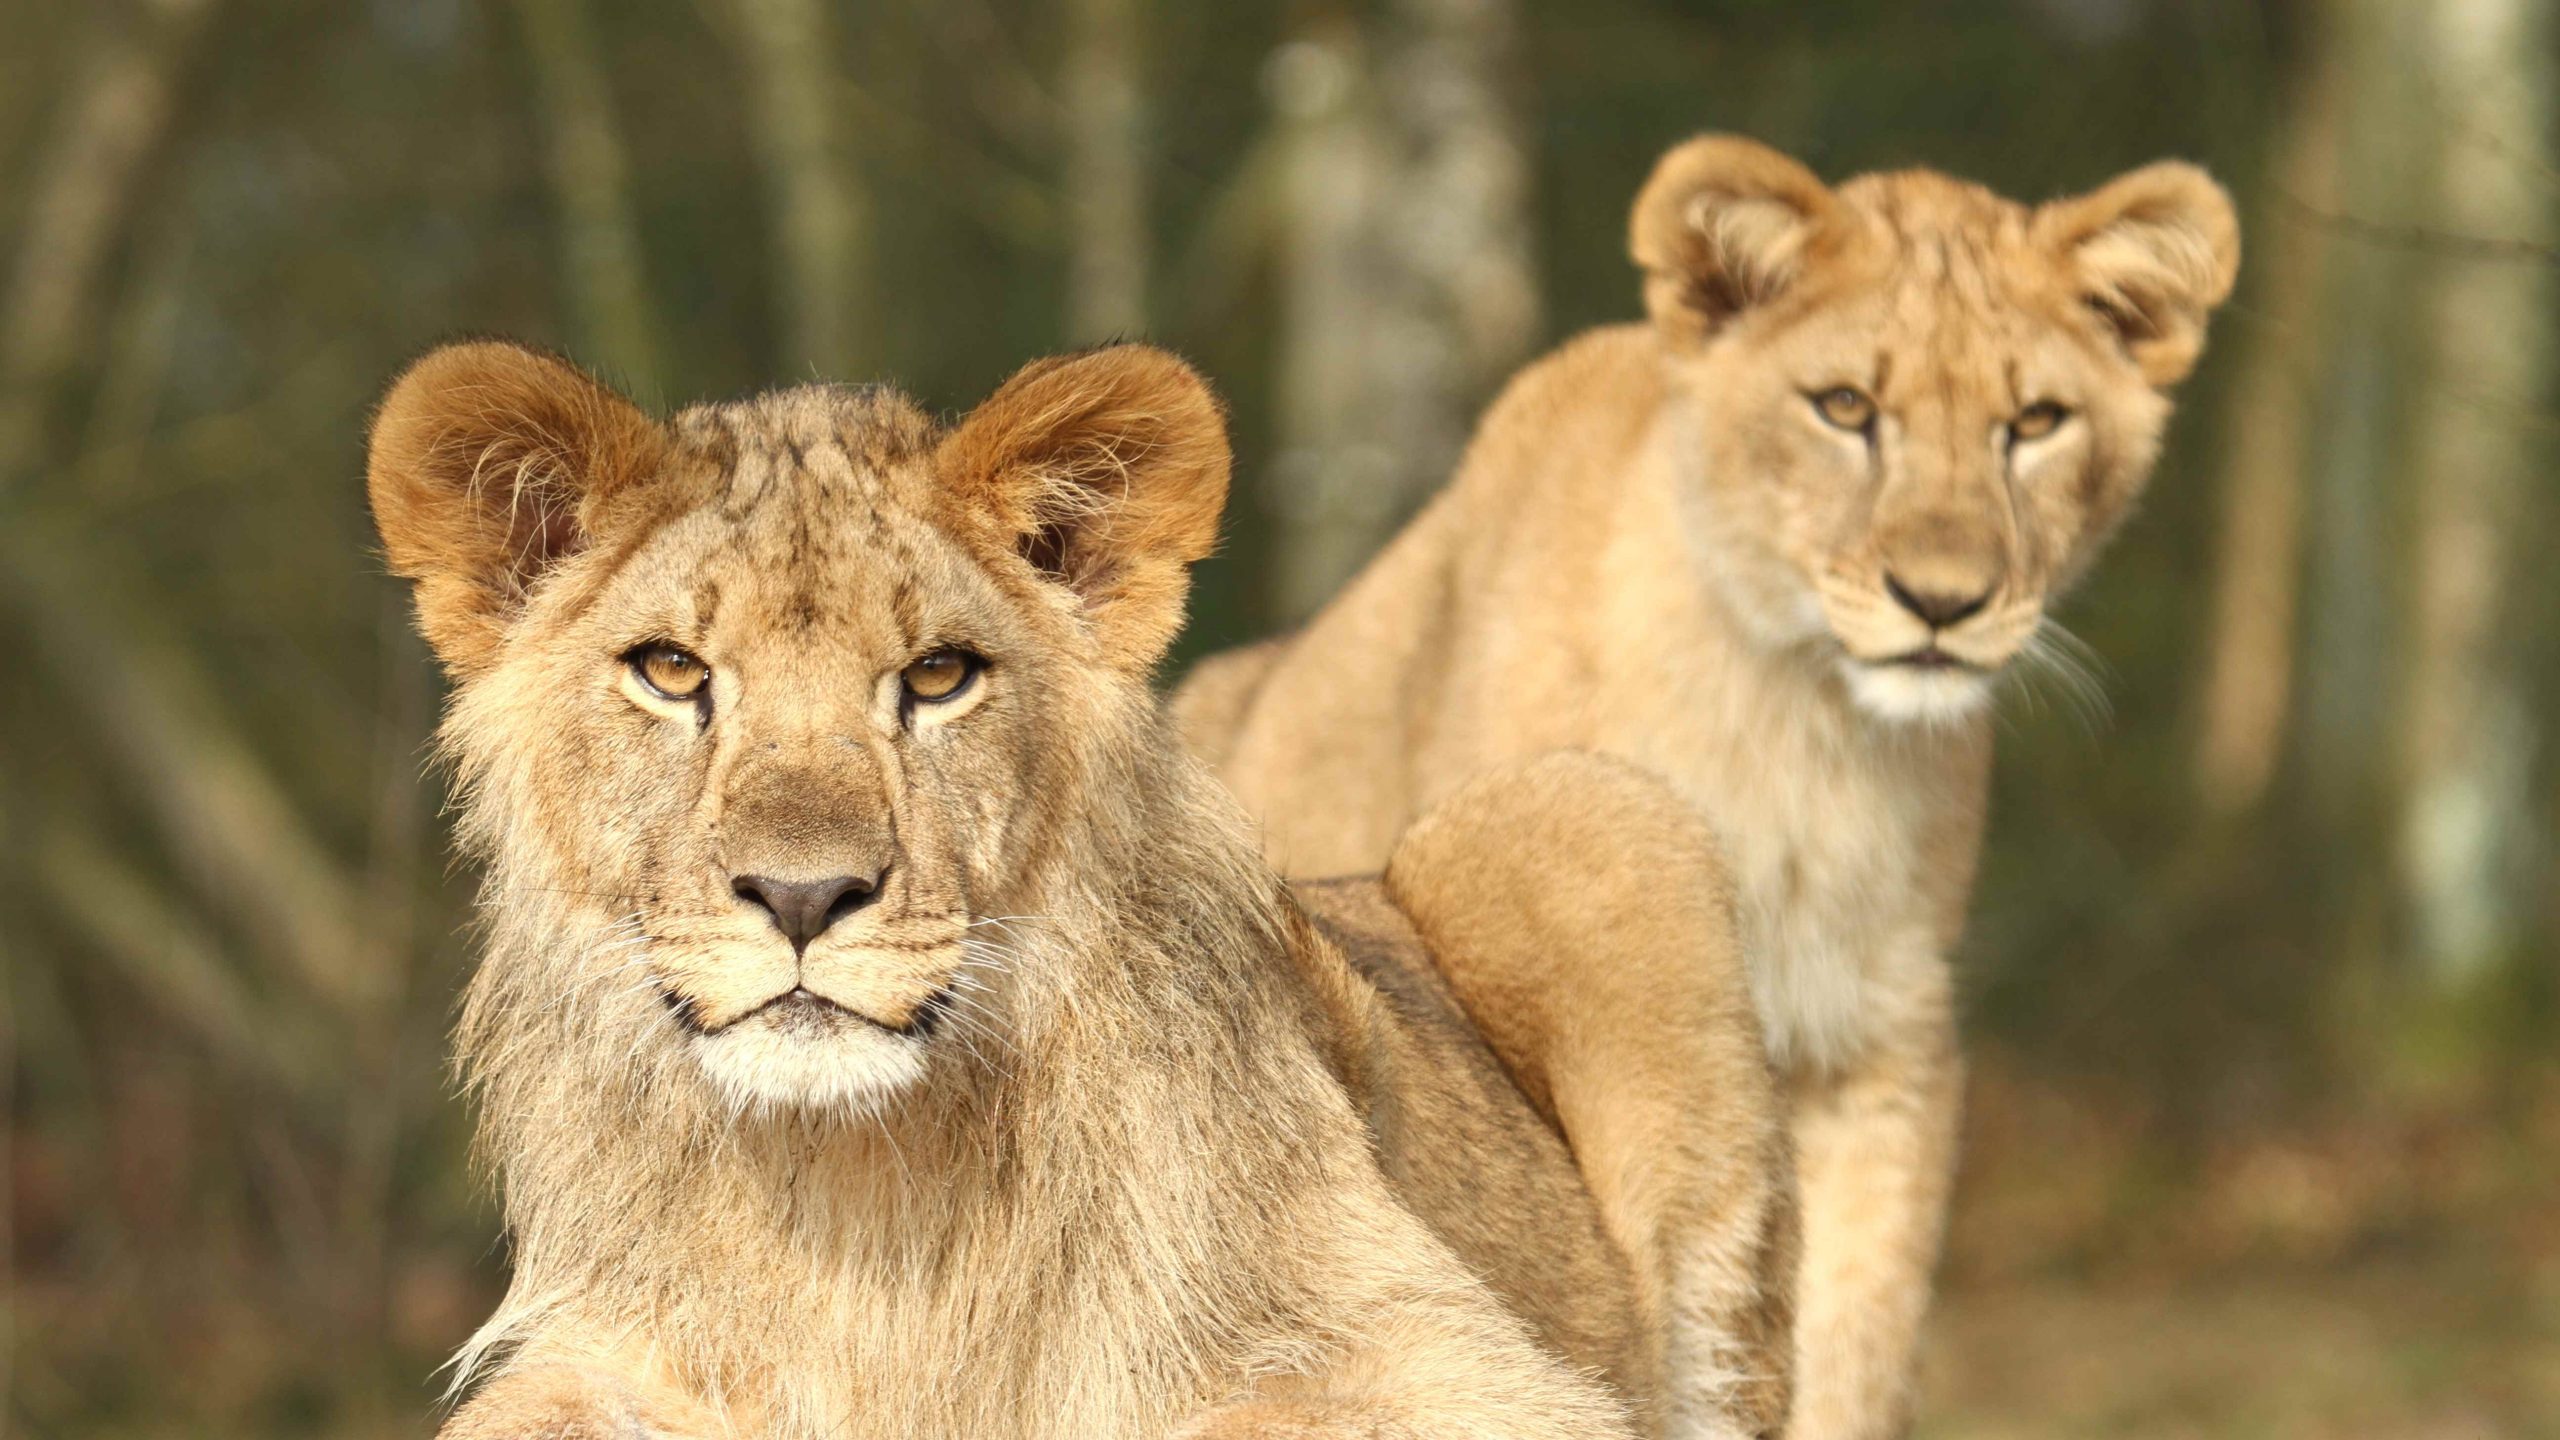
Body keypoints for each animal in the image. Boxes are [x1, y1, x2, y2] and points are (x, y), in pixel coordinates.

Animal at [366, 338, 1796, 1440]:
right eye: (670, 671)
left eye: (939, 676)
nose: (803, 895)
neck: (854, 1186)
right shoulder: (605, 1357)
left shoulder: (1458, 1362)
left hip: (1588, 816)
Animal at [1175, 136, 2240, 1439]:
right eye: (1844, 408)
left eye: (2034, 422)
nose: (1941, 603)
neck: (1803, 733)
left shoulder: (1880, 1046)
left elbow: (1856, 1341)